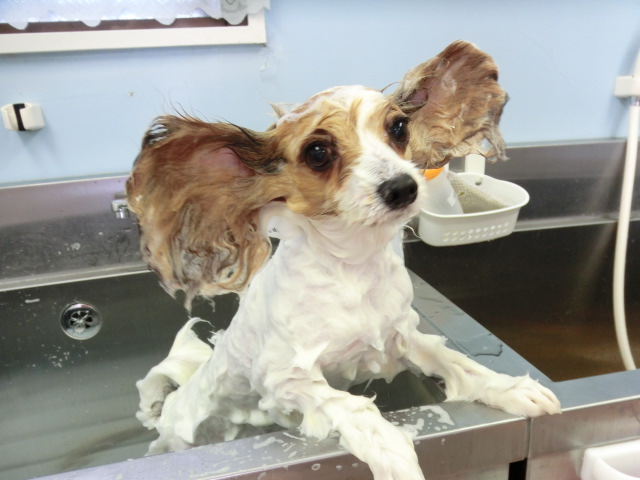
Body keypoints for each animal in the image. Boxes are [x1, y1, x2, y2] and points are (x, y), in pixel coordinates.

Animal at [127, 41, 561, 480]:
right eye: (318, 152)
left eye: (399, 128)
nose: (402, 187)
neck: (354, 269)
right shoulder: (283, 379)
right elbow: (348, 405)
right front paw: (391, 449)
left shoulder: (402, 338)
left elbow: (457, 362)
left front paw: (509, 388)